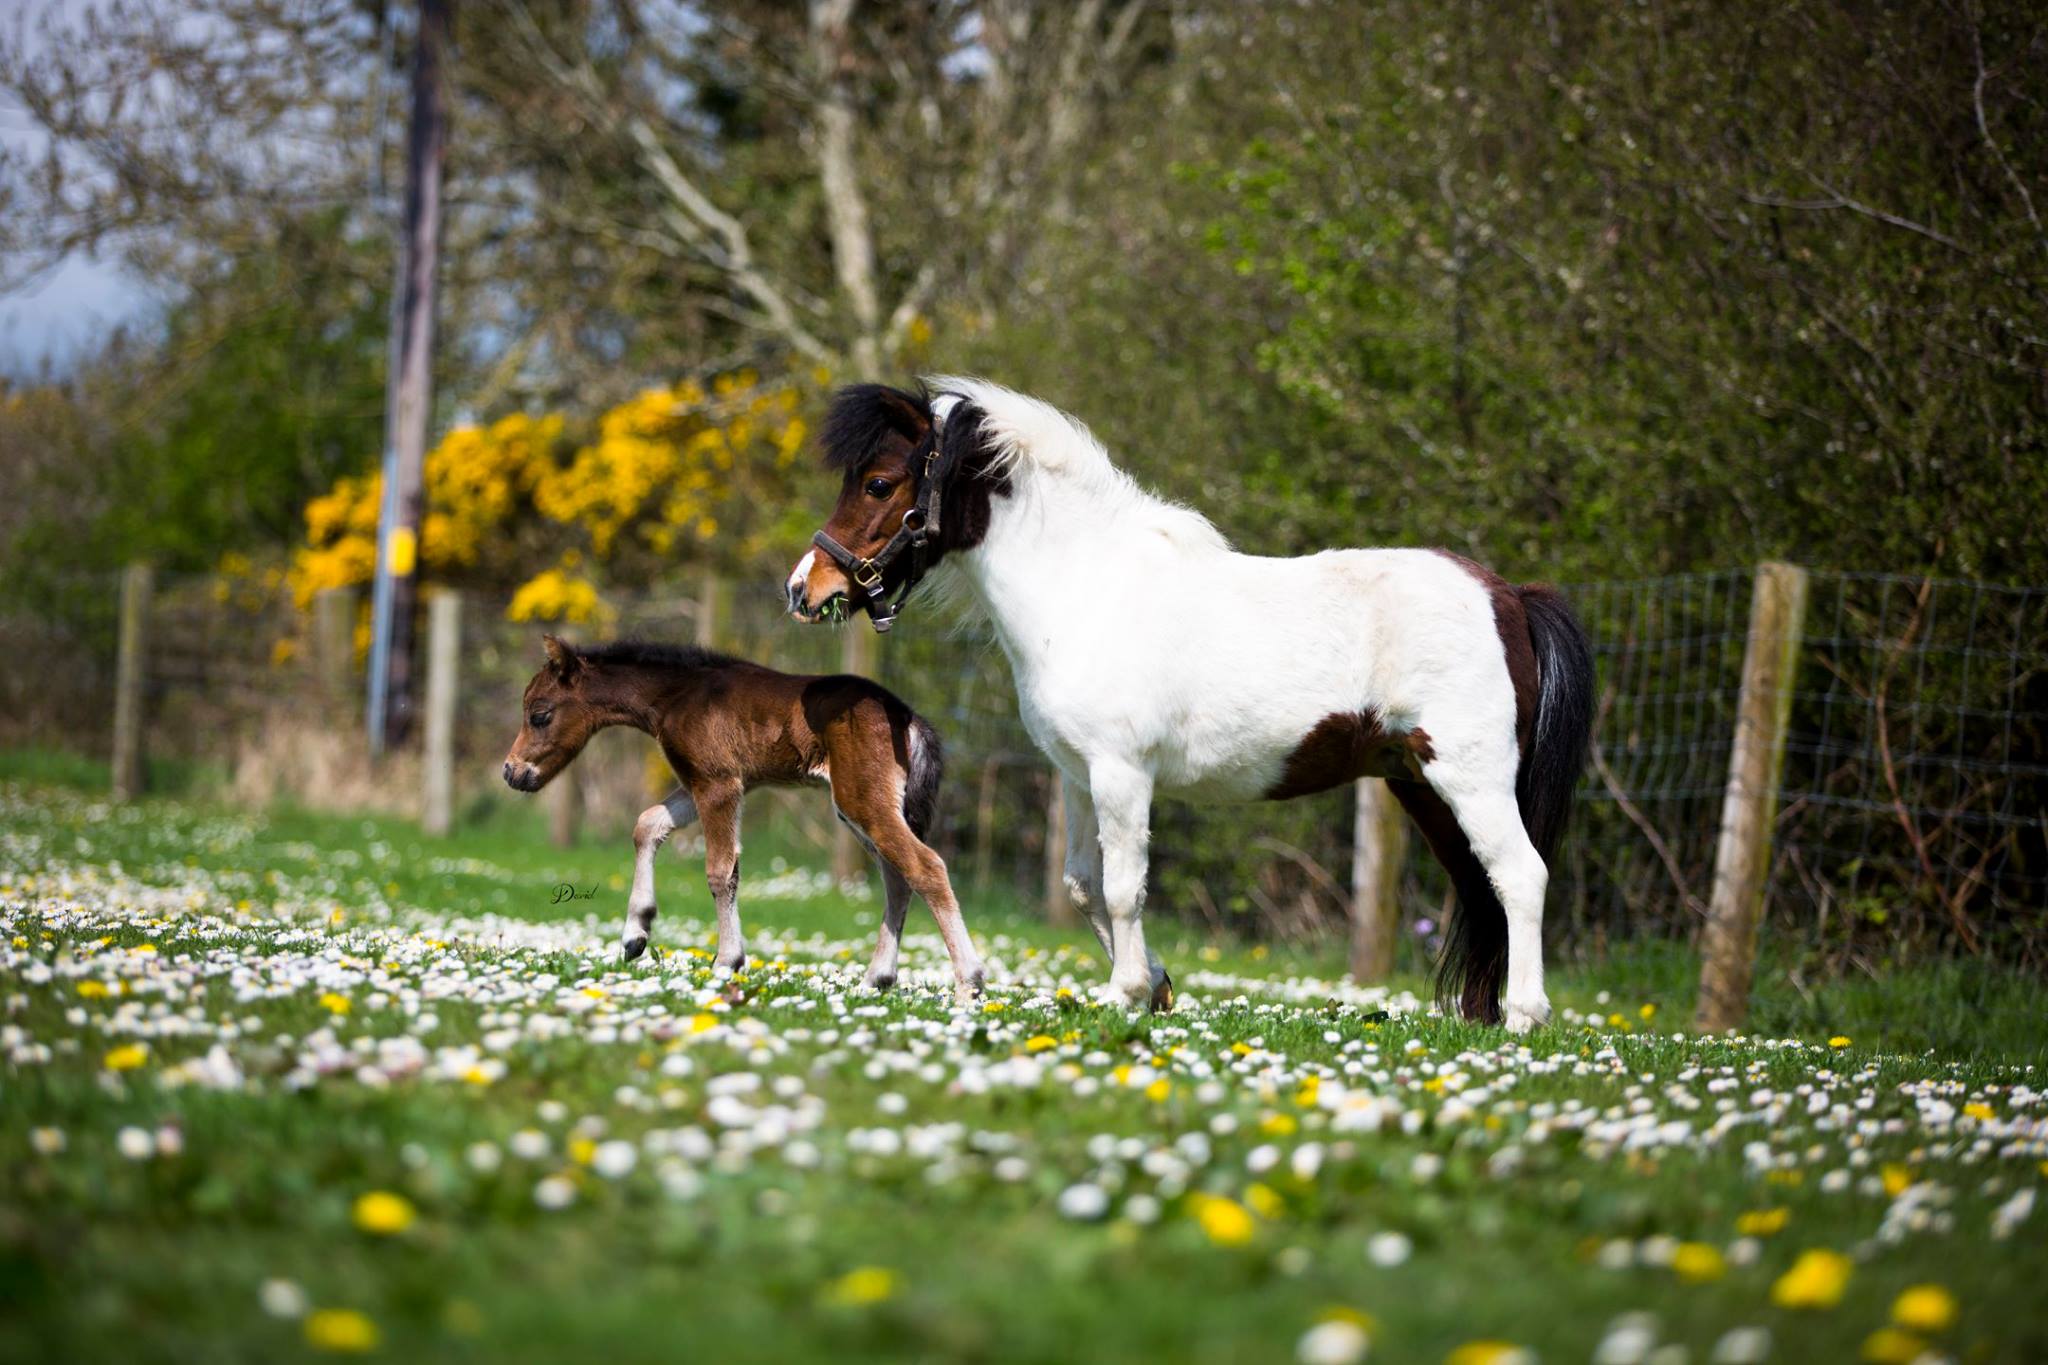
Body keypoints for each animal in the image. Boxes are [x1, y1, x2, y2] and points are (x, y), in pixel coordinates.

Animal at [500, 635, 987, 1001]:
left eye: (539, 715)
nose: (511, 772)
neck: (677, 696)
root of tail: (907, 717)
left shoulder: (718, 784)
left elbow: (720, 870)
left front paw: (726, 961)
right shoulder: (710, 782)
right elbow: (647, 825)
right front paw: (636, 933)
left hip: (861, 799)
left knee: (925, 866)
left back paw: (969, 984)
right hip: (860, 807)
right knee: (897, 875)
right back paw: (877, 978)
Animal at [785, 379, 1594, 1031]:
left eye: (881, 483)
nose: (805, 588)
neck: (1083, 586)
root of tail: (1507, 595)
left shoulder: (1121, 773)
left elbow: (1124, 886)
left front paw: (1125, 993)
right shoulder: (1077, 775)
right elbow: (1084, 885)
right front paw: (1156, 986)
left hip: (1470, 778)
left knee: (1521, 877)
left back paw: (1524, 1016)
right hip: (1420, 785)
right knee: (1480, 887)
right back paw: (1479, 1017)